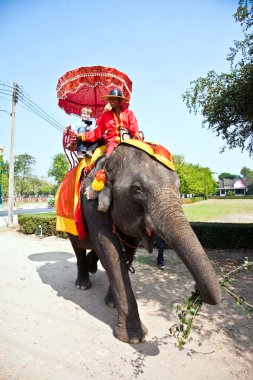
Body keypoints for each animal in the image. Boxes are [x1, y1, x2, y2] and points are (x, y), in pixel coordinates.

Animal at [67, 141, 221, 342]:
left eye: (179, 187)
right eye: (137, 190)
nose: (196, 289)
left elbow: (127, 250)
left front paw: (111, 304)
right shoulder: (90, 204)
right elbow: (108, 248)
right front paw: (133, 338)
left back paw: (92, 266)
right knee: (78, 247)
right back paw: (82, 284)